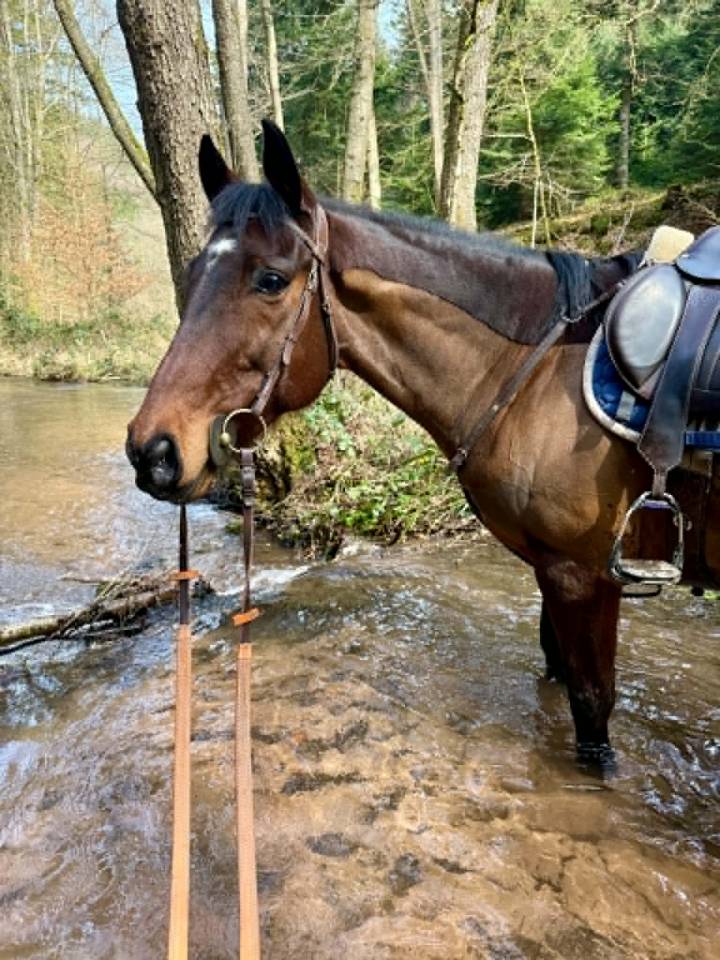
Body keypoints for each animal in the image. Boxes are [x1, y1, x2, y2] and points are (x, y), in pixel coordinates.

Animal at [127, 119, 720, 762]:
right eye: (192, 275)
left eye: (271, 280)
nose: (152, 451)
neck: (538, 369)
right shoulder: (553, 572)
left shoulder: (581, 578)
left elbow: (592, 710)